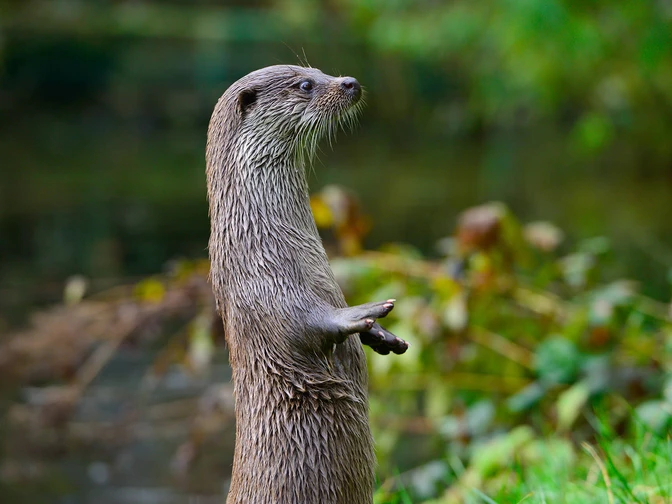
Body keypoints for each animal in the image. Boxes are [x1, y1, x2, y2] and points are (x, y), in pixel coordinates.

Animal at [206, 65, 408, 504]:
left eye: (318, 70)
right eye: (304, 84)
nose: (349, 82)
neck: (262, 238)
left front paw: (383, 337)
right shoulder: (259, 285)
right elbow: (300, 325)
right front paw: (361, 313)